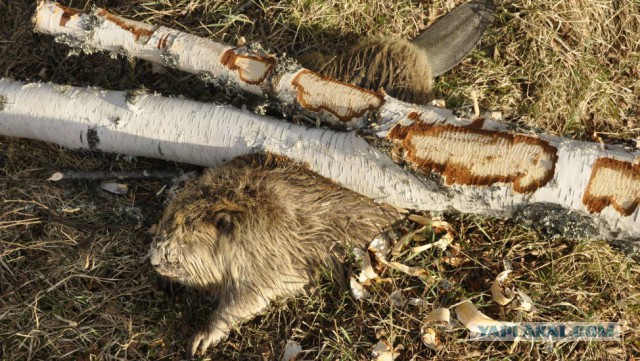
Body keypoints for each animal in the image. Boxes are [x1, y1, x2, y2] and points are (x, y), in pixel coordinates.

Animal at [149, 152, 400, 354]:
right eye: (166, 220)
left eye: (186, 234)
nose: (154, 261)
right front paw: (165, 282)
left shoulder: (274, 256)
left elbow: (256, 294)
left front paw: (202, 339)